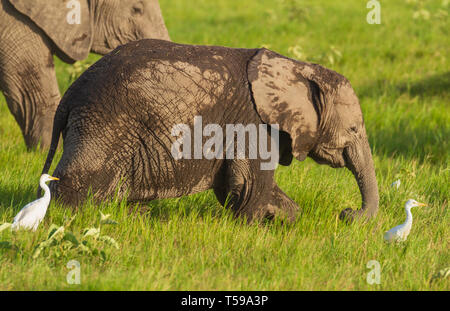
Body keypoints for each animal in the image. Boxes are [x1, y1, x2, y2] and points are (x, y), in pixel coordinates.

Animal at [41, 39, 380, 224]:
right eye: (353, 128)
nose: (346, 213)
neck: (297, 68)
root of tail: (69, 95)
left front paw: (281, 216)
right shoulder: (253, 122)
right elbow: (248, 183)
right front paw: (251, 227)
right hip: (103, 124)